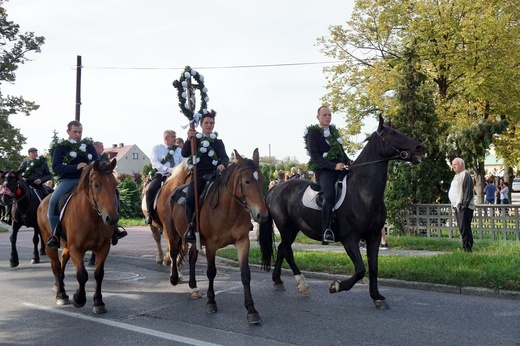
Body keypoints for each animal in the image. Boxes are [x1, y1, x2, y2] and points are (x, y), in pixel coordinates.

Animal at [37, 159, 119, 314]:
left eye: (115, 184)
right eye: (96, 185)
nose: (111, 218)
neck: (92, 216)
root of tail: (43, 201)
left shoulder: (103, 247)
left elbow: (98, 274)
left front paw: (98, 302)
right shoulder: (76, 248)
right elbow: (82, 274)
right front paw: (79, 298)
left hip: (67, 246)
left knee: (63, 260)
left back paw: (59, 284)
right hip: (49, 244)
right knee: (56, 266)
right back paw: (61, 294)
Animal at [166, 149, 268, 324]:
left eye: (262, 179)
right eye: (247, 181)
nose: (262, 215)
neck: (228, 210)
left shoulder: (243, 242)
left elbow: (245, 274)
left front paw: (251, 310)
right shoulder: (211, 245)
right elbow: (211, 272)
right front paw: (211, 302)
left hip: (195, 240)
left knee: (192, 257)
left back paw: (193, 286)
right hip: (173, 233)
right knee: (173, 252)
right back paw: (174, 278)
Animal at [258, 115, 424, 308]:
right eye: (392, 133)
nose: (420, 148)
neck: (362, 191)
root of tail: (274, 188)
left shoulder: (374, 236)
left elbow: (373, 268)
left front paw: (377, 296)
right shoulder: (350, 239)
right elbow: (360, 270)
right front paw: (336, 286)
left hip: (293, 229)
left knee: (283, 249)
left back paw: (279, 281)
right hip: (286, 227)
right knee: (287, 250)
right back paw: (302, 284)